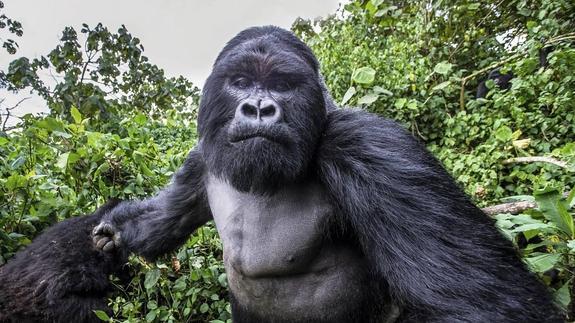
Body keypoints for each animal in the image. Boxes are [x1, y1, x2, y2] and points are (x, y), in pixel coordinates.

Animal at [93, 26, 564, 323]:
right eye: (240, 81)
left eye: (283, 85)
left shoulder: (368, 145)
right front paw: (116, 233)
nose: (259, 108)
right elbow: (167, 217)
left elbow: (488, 304)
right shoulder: (201, 159)